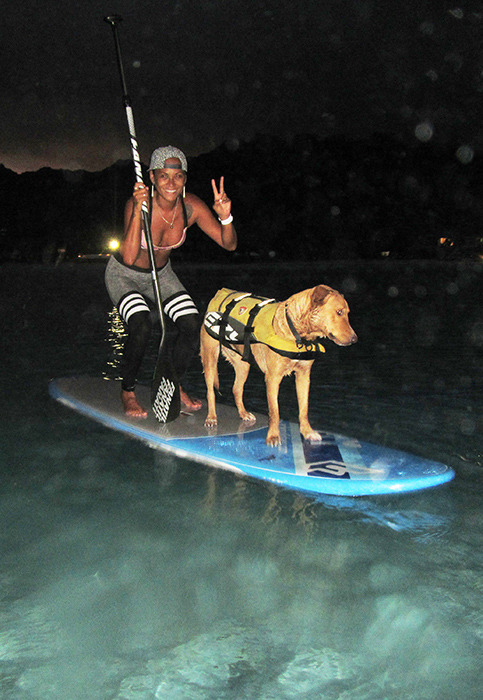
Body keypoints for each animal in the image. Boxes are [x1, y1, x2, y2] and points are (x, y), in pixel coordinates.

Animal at [199, 284, 358, 442]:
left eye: (347, 313)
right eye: (339, 312)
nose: (355, 339)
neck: (296, 331)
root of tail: (219, 293)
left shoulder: (303, 376)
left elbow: (304, 409)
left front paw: (307, 431)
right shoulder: (273, 378)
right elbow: (274, 411)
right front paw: (273, 435)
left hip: (243, 365)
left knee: (236, 389)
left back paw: (243, 413)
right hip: (210, 359)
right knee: (210, 391)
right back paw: (211, 417)